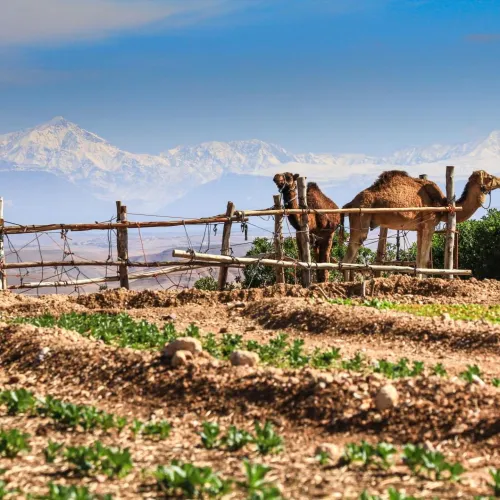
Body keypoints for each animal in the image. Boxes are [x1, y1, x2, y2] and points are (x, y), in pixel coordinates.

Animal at [340, 170, 500, 280]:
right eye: (489, 177)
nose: (499, 180)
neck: (442, 204)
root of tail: (350, 204)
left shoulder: (419, 228)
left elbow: (420, 259)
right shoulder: (429, 224)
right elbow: (424, 259)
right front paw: (420, 281)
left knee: (352, 257)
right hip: (361, 218)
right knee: (348, 257)